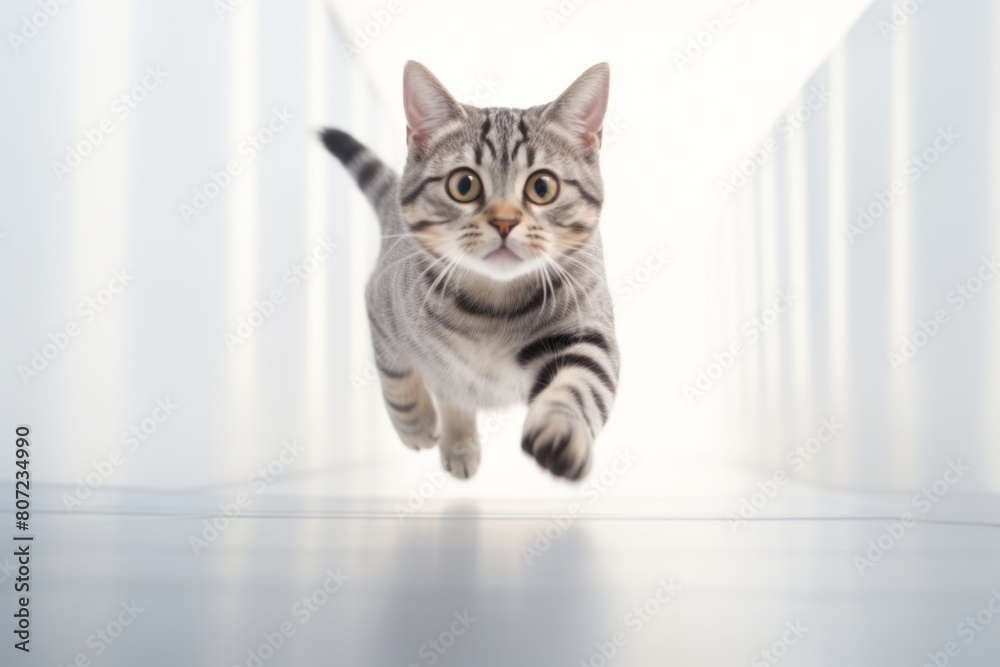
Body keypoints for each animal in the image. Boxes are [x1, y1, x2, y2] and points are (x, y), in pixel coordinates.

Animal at [320, 61, 616, 480]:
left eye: (542, 187)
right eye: (464, 184)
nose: (505, 222)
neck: (492, 307)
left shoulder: (588, 330)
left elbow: (582, 383)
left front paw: (561, 433)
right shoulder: (381, 307)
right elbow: (396, 374)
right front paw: (416, 424)